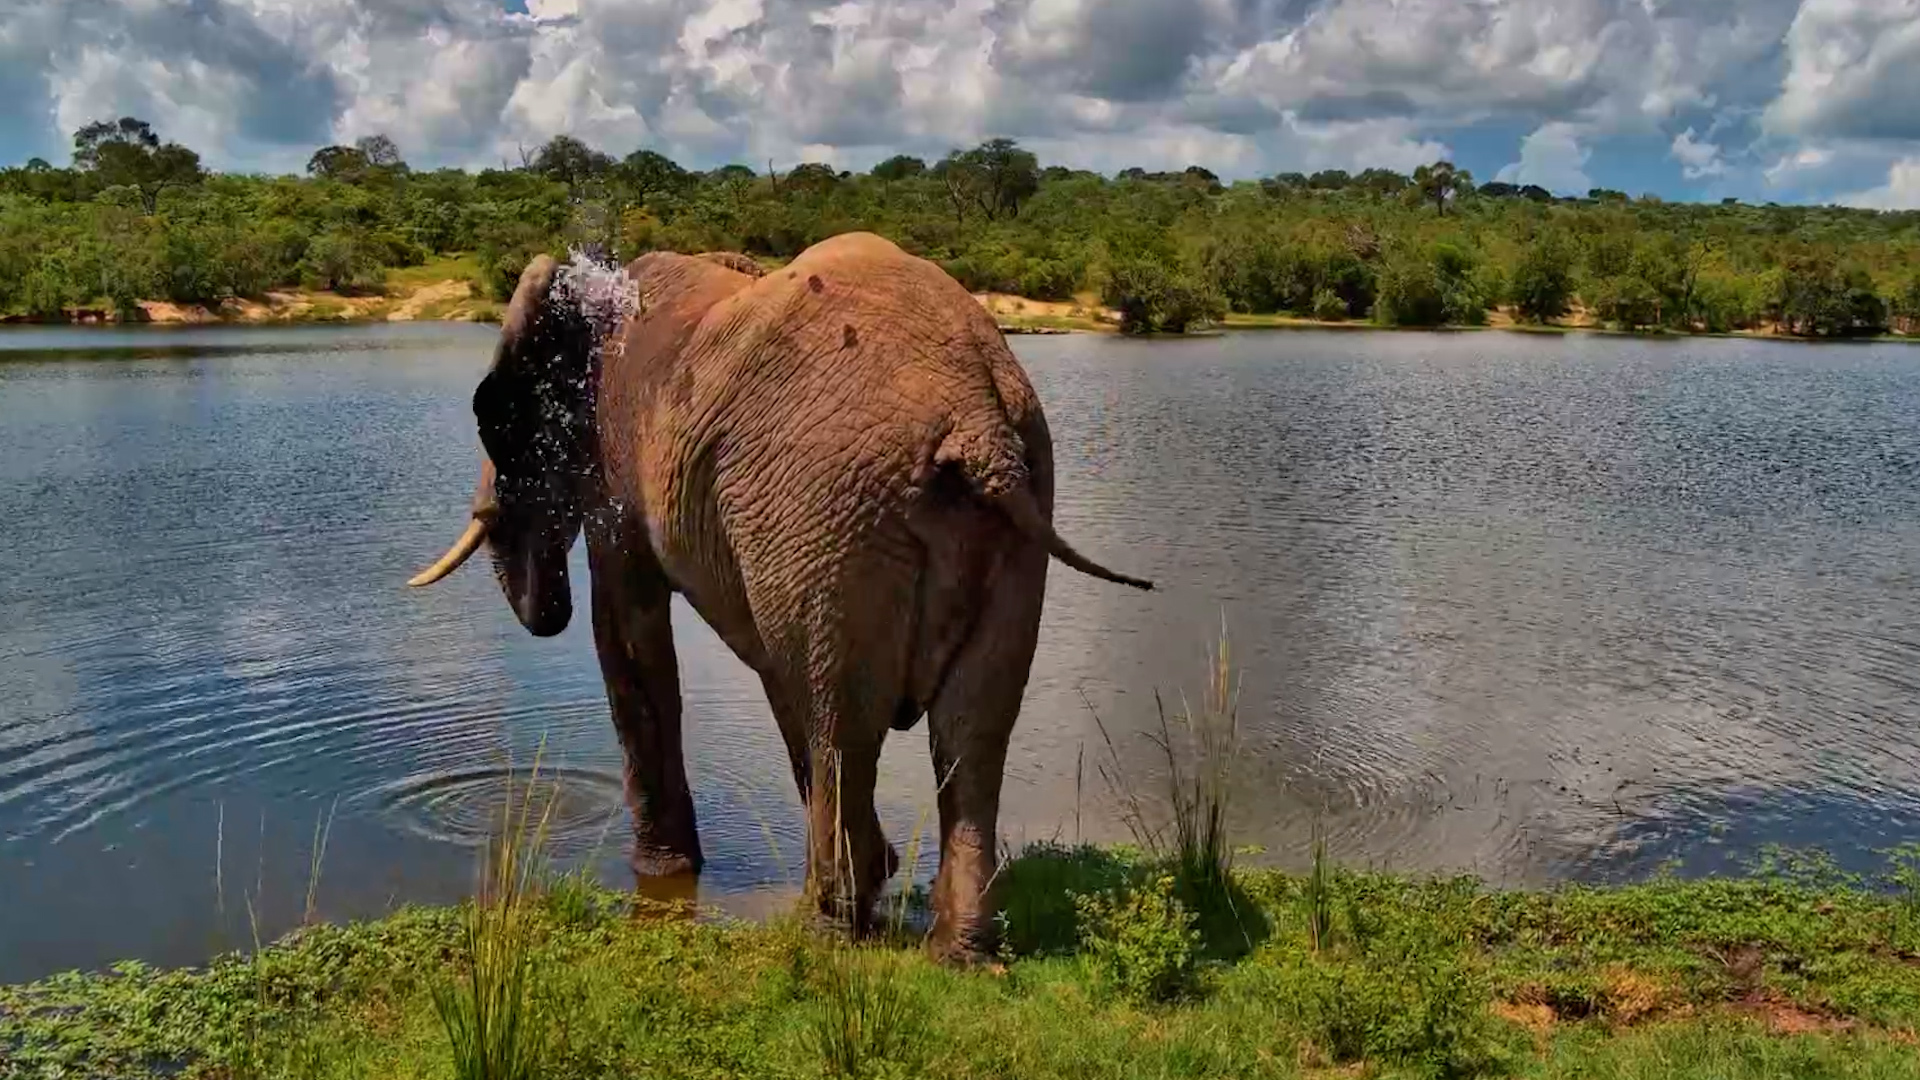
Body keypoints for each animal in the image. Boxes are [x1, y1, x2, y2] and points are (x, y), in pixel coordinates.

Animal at [407, 231, 1151, 960]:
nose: (543, 602)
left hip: (835, 510)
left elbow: (629, 634)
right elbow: (773, 671)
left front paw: (662, 871)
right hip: (997, 500)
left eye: (497, 417)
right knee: (970, 728)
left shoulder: (616, 461)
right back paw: (956, 952)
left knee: (844, 722)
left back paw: (826, 929)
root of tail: (979, 418)